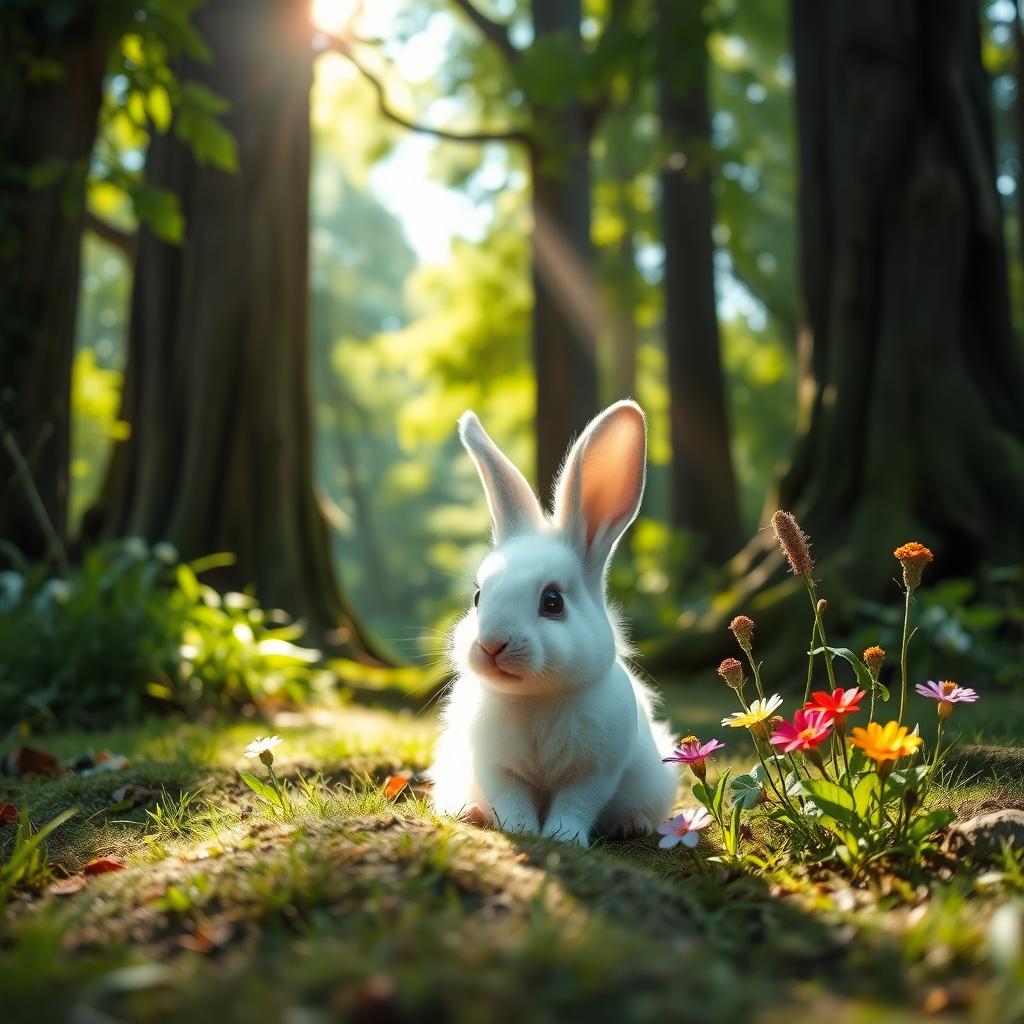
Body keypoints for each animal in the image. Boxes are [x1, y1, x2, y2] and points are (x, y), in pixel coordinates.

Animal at [429, 400, 678, 846]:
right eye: (478, 597)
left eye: (552, 601)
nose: (491, 644)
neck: (535, 698)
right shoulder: (497, 768)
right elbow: (511, 800)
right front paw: (522, 831)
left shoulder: (594, 772)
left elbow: (575, 804)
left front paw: (563, 838)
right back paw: (471, 812)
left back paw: (632, 825)